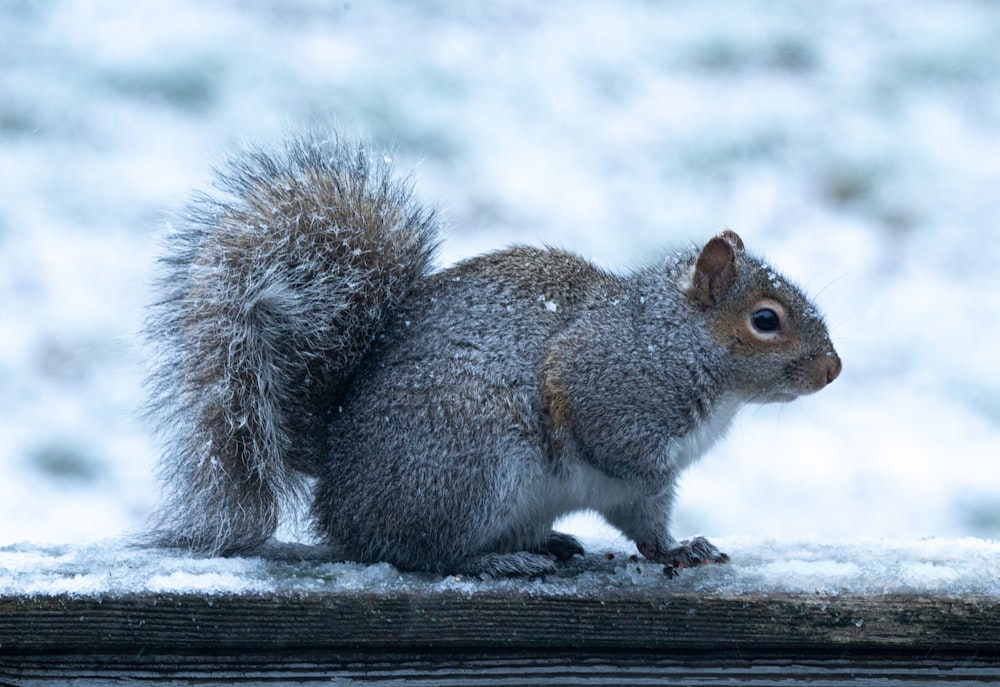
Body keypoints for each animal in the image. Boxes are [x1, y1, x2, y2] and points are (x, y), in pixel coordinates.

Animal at [145, 133, 840, 576]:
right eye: (765, 320)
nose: (833, 370)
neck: (679, 340)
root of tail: (338, 490)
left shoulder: (638, 489)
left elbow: (647, 523)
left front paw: (676, 551)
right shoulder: (610, 384)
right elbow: (615, 453)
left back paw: (550, 542)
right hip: (471, 464)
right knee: (420, 553)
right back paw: (500, 559)